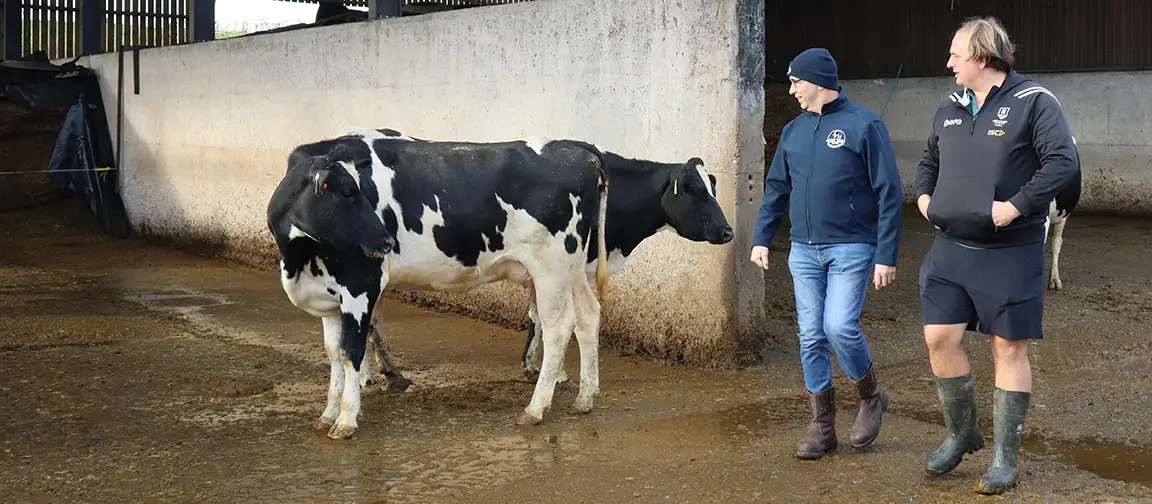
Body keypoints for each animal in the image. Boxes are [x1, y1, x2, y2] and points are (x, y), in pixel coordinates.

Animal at [364, 147, 732, 388]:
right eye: (695, 191)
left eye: (713, 188)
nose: (728, 232)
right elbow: (552, 319)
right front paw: (556, 374)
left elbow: (538, 316)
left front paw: (535, 367)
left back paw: (384, 374)